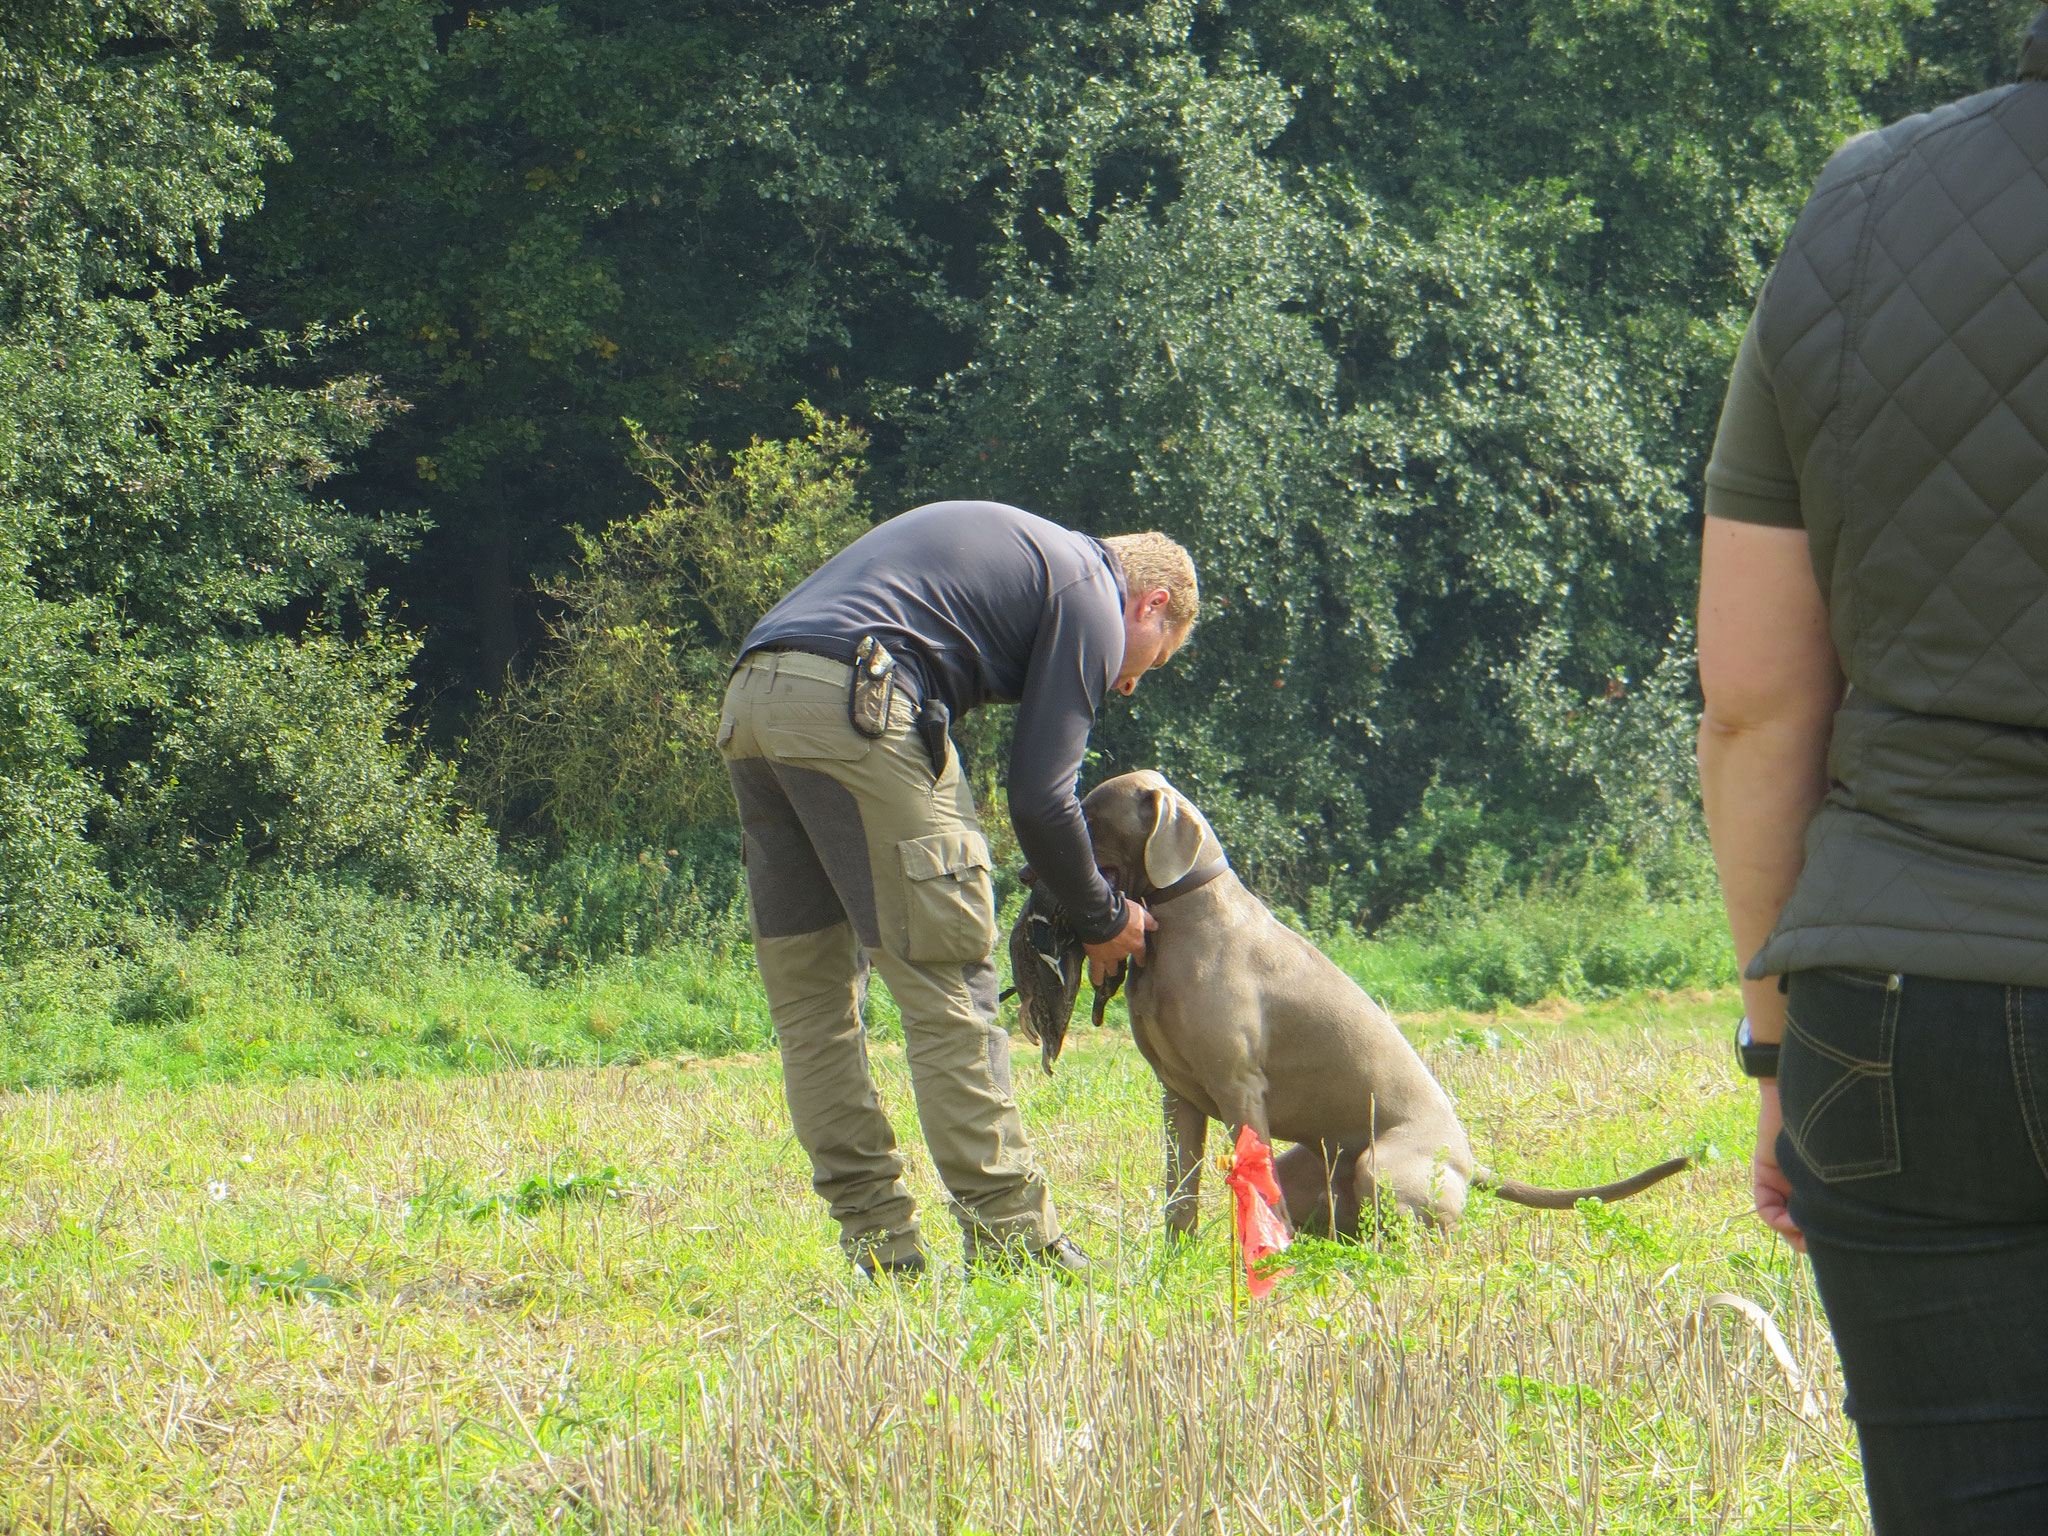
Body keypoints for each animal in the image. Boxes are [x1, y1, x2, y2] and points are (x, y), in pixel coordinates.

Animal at [1019, 770, 1679, 1236]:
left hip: (1380, 1167)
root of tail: (1469, 1162)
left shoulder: (1239, 1089)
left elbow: (1251, 1191)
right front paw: (1175, 1264)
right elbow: (1179, 1194)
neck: (1180, 921)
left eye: (1089, 816)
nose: (1026, 873)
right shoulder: (1177, 1097)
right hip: (1315, 1165)